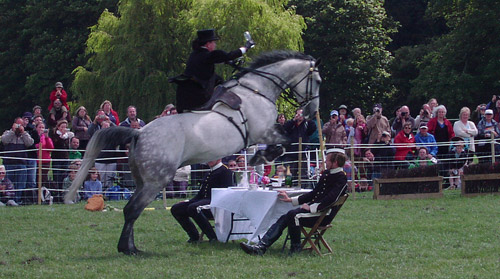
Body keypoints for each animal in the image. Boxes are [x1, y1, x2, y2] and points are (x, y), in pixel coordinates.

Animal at [64, 50, 320, 256]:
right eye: (317, 80)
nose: (311, 111)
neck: (257, 90)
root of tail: (139, 133)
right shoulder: (265, 132)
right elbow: (284, 142)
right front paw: (261, 158)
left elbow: (279, 145)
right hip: (156, 181)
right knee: (132, 209)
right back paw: (128, 250)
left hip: (142, 181)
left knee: (132, 210)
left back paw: (132, 246)